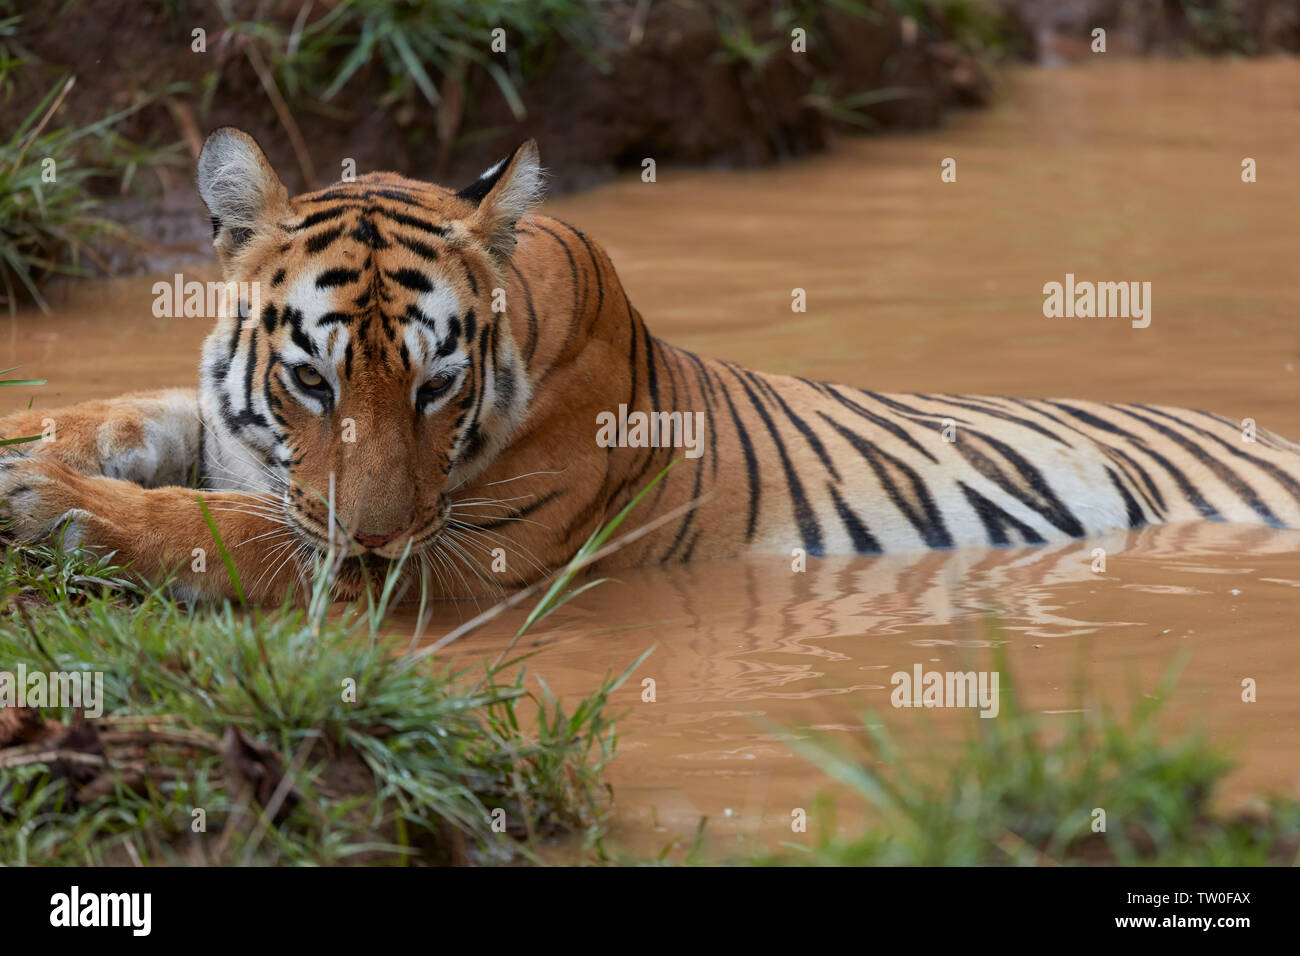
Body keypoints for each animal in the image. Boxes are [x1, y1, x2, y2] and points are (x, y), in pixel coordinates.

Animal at [2, 127, 1300, 606]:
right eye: (311, 381)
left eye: (435, 386)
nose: (371, 535)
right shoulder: (239, 437)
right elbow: (139, 416)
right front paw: (32, 445)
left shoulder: (460, 552)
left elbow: (221, 529)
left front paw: (49, 501)